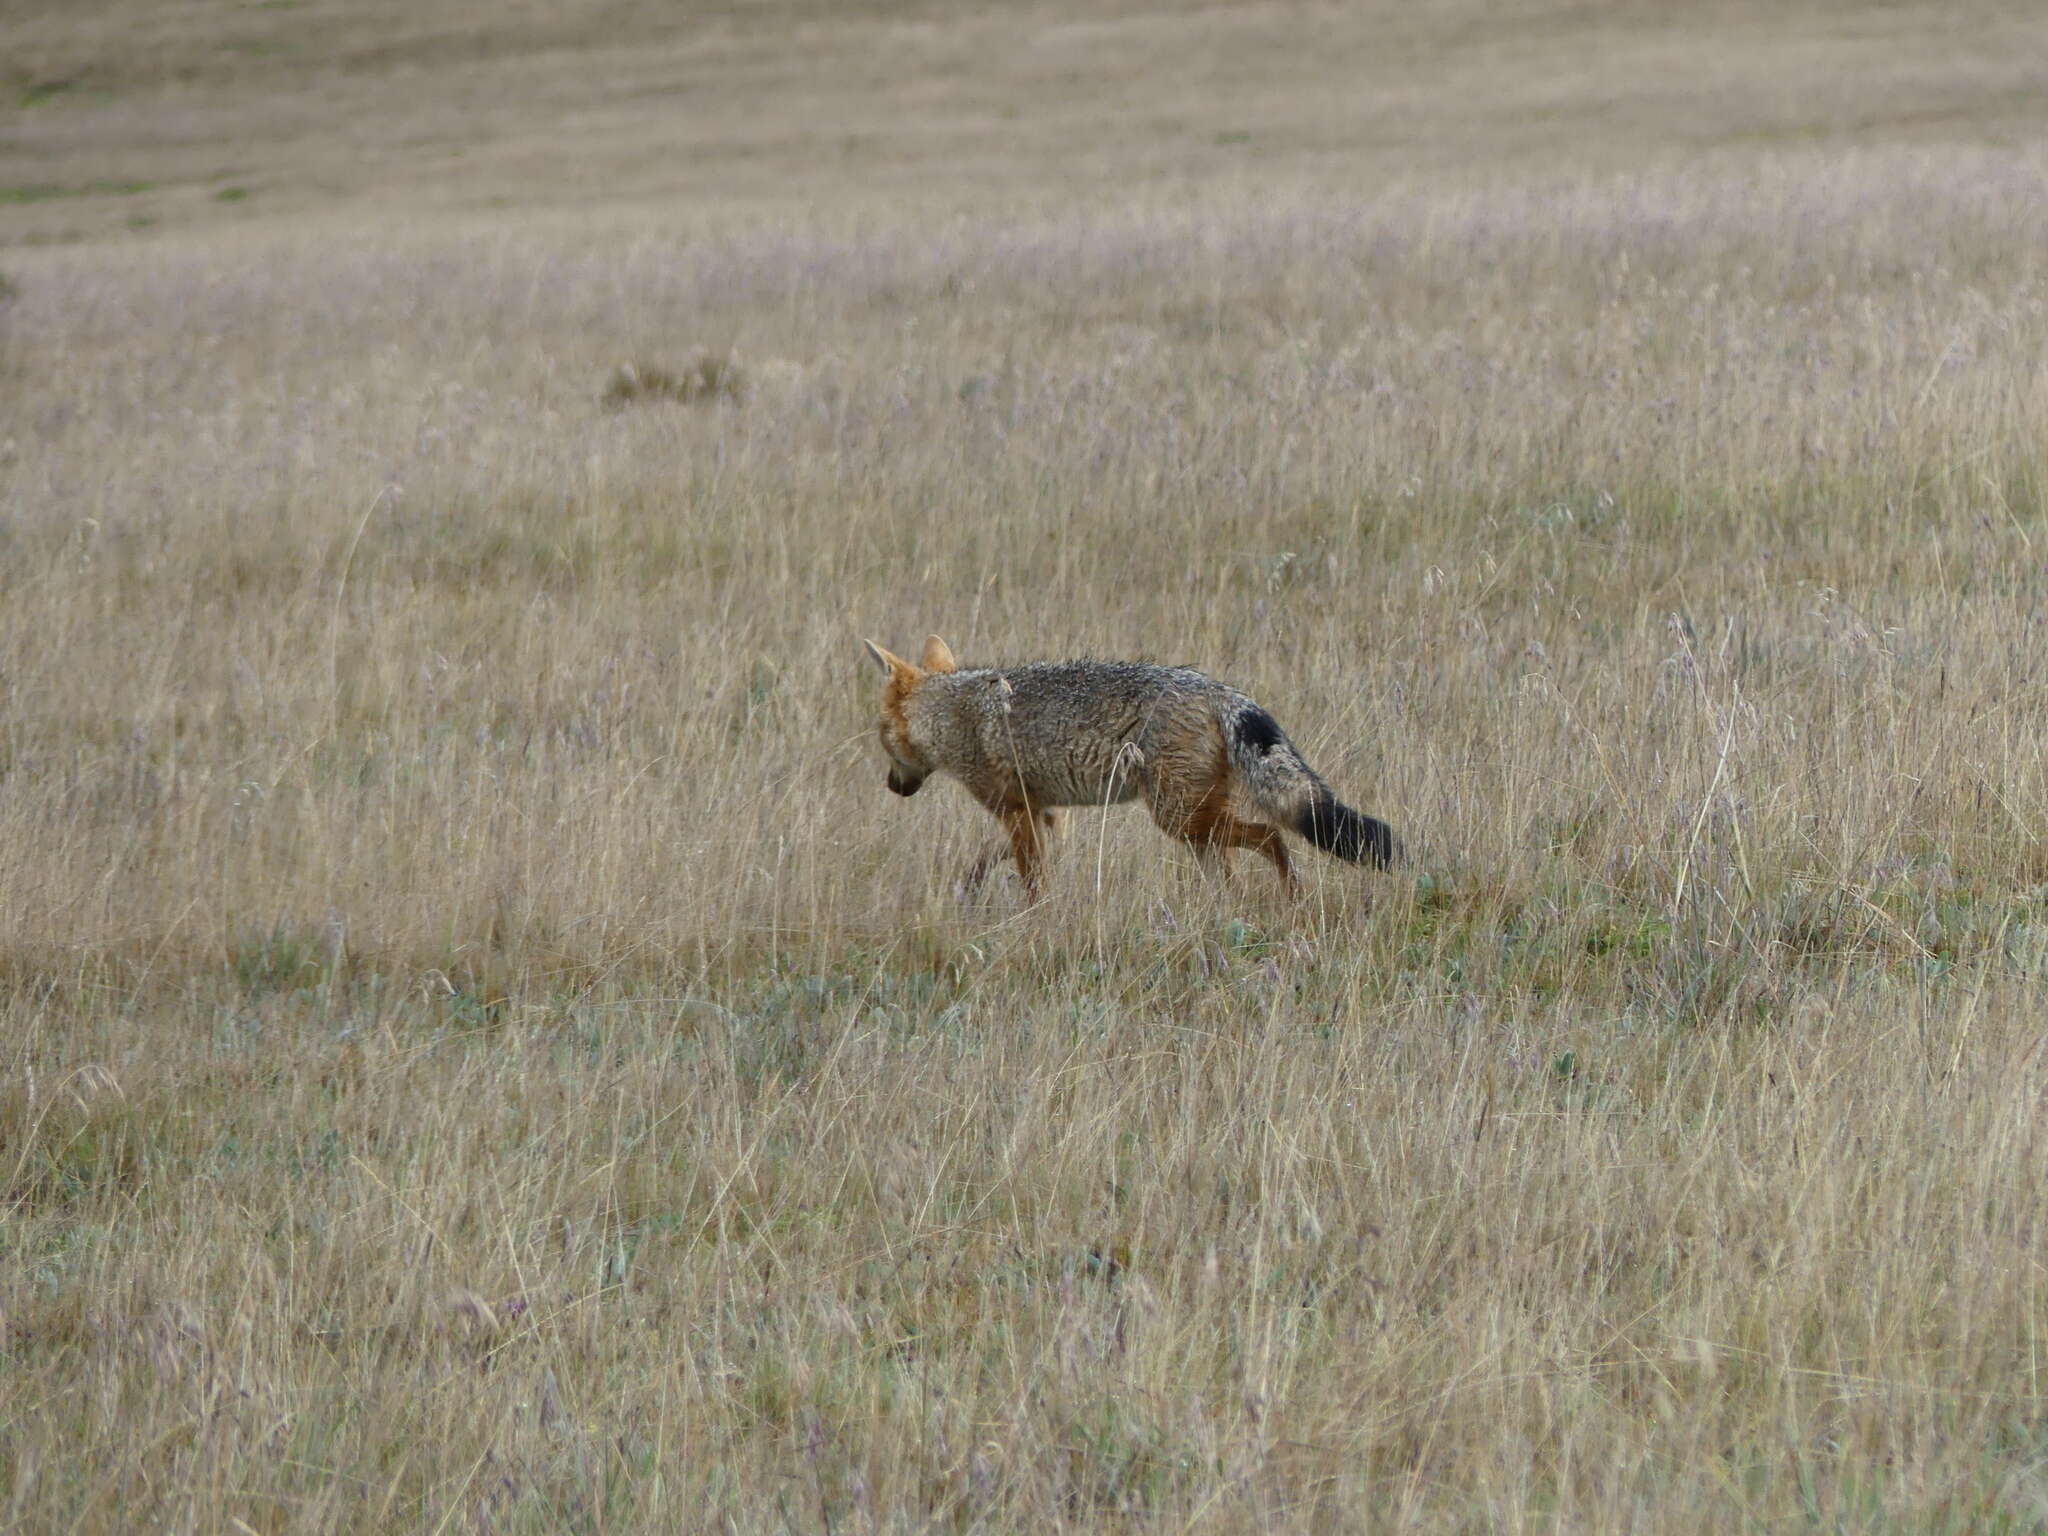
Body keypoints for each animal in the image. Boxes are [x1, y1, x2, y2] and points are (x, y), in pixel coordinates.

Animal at [856, 638, 1400, 901]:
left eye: (879, 736)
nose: (890, 787)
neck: (955, 713)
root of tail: (1219, 689)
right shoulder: (1044, 814)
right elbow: (990, 859)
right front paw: (967, 891)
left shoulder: (1016, 813)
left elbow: (1031, 881)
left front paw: (1033, 920)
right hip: (1194, 830)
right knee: (1234, 875)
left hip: (1181, 821)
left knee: (1272, 837)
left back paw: (1292, 898)